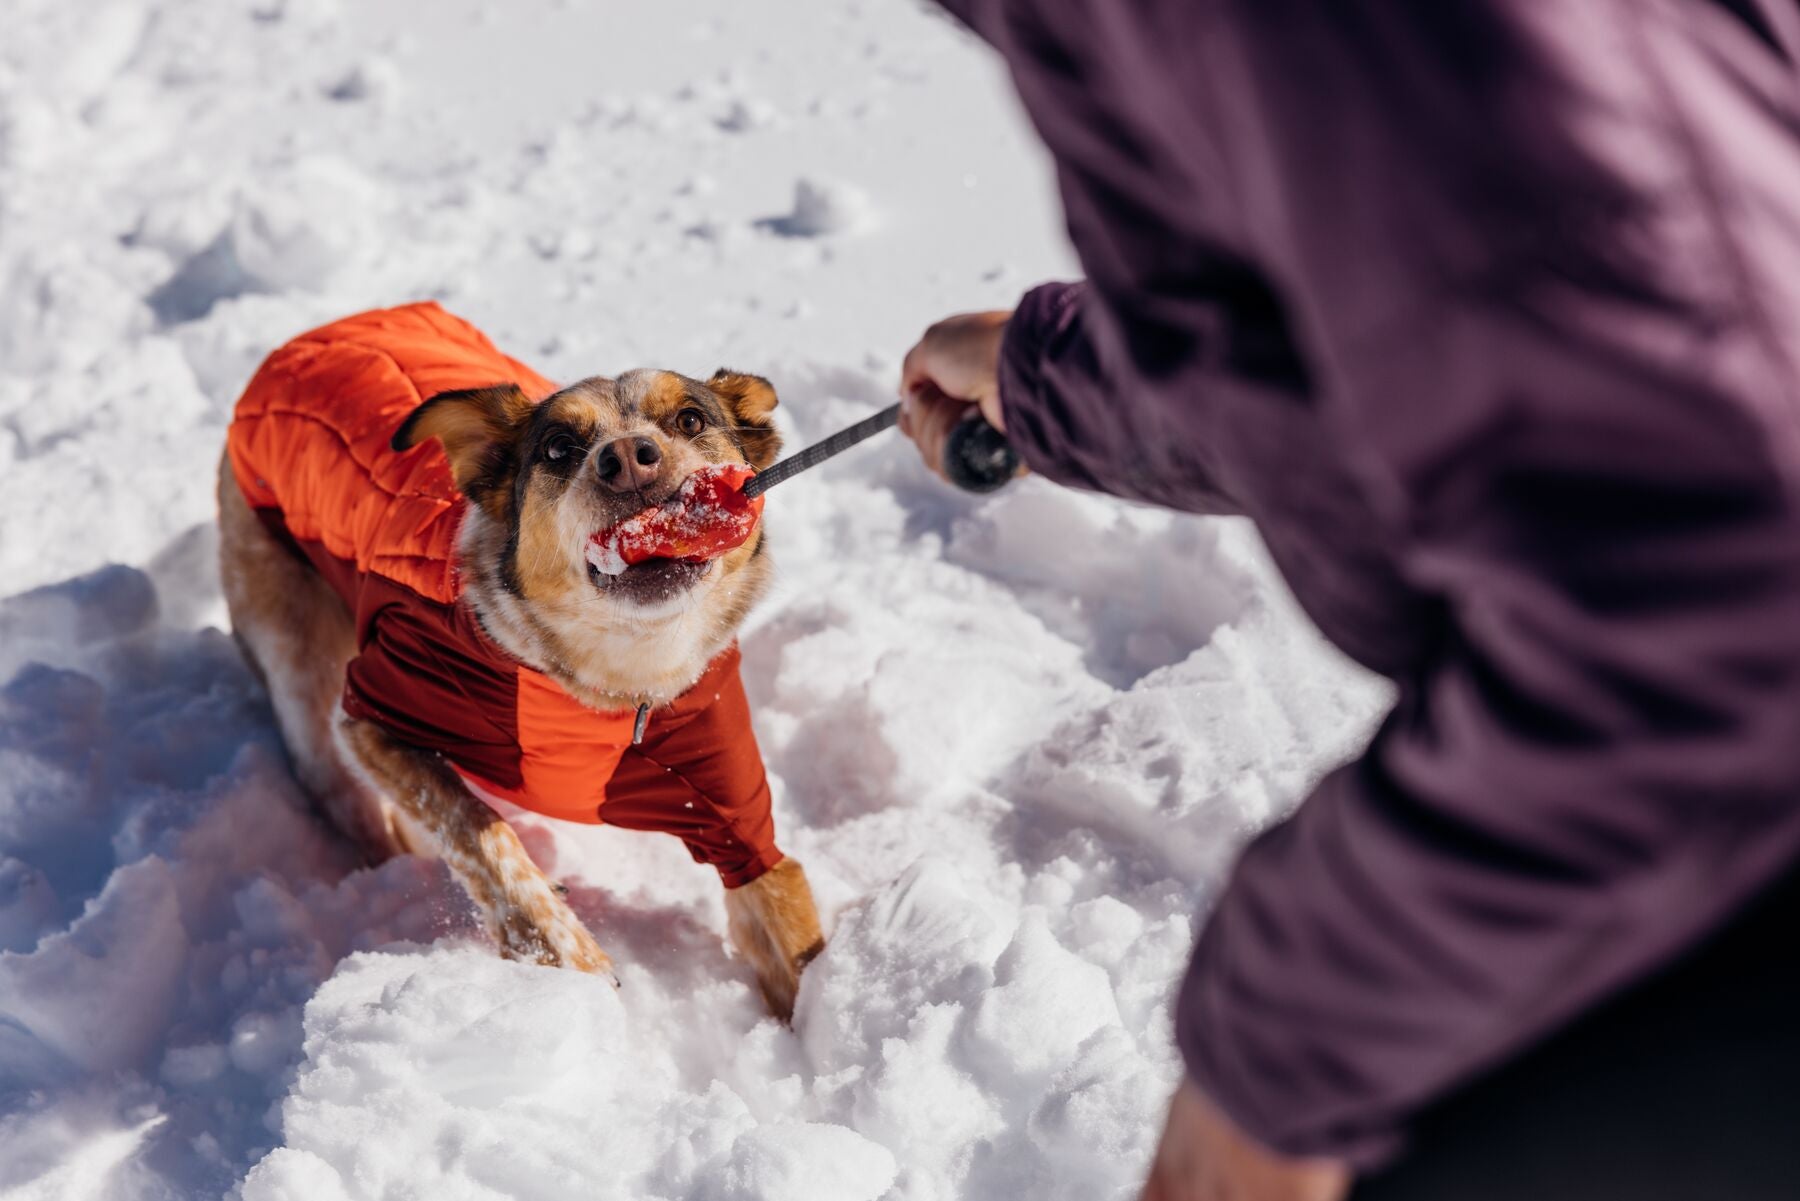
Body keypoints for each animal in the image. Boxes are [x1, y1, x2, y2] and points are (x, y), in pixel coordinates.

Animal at [217, 302, 823, 1017]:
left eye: (690, 421)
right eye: (558, 447)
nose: (629, 458)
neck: (612, 686)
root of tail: (315, 334)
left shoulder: (730, 810)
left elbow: (790, 923)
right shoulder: (377, 710)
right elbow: (480, 830)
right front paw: (565, 957)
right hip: (289, 632)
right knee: (330, 778)